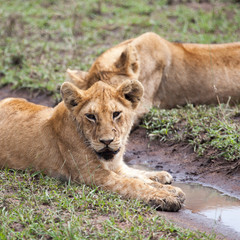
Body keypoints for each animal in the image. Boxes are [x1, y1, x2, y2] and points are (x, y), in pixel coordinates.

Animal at [0, 80, 184, 210]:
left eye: (116, 114)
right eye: (91, 116)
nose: (106, 141)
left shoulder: (117, 166)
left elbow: (139, 175)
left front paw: (165, 182)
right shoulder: (92, 174)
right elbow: (132, 183)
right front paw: (166, 196)